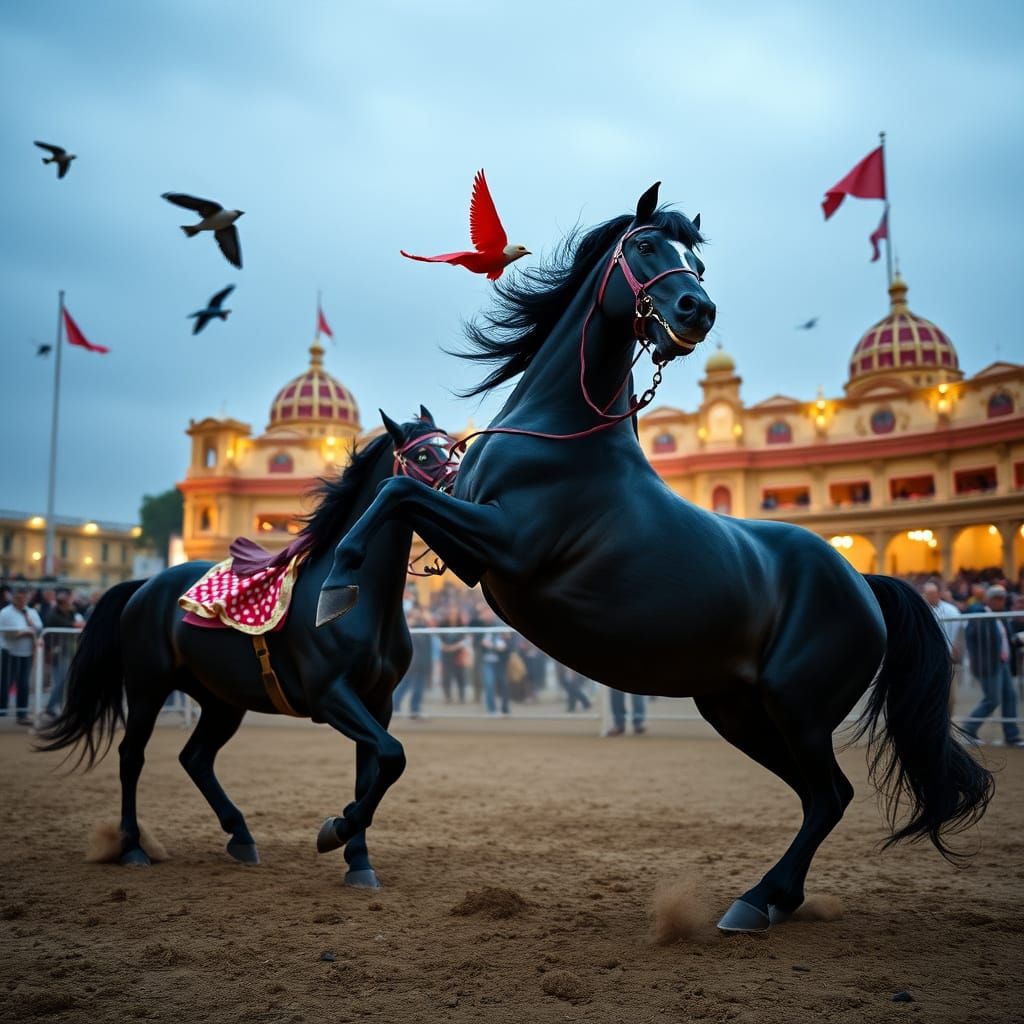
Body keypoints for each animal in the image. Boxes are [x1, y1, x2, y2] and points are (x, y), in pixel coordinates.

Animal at [39, 409, 457, 888]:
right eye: (423, 455)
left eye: (451, 447)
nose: (456, 487)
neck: (355, 597)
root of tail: (144, 585)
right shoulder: (330, 695)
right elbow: (392, 755)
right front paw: (336, 829)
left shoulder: (379, 700)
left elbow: (375, 769)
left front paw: (358, 859)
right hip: (147, 686)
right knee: (132, 756)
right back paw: (132, 848)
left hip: (222, 700)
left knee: (195, 757)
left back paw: (240, 835)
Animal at [315, 183, 993, 930]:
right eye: (645, 246)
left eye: (696, 261)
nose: (698, 310)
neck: (563, 437)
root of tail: (865, 582)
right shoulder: (473, 550)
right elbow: (402, 492)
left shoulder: (505, 549)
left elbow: (398, 493)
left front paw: (335, 585)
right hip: (738, 709)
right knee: (819, 796)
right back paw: (772, 899)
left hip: (800, 708)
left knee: (831, 795)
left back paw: (755, 901)